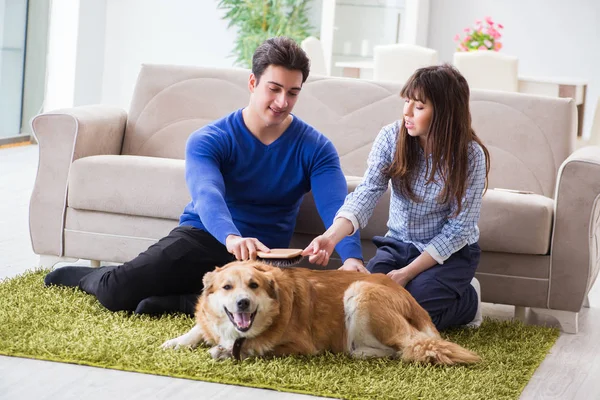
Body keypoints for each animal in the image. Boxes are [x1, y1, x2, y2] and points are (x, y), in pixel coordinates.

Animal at [162, 260, 480, 366]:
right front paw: (176, 341)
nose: (243, 303)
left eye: (253, 285)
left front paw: (226, 352)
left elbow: (258, 348)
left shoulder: (300, 345)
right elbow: (199, 328)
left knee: (401, 348)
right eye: (227, 287)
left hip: (360, 292)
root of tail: (414, 302)